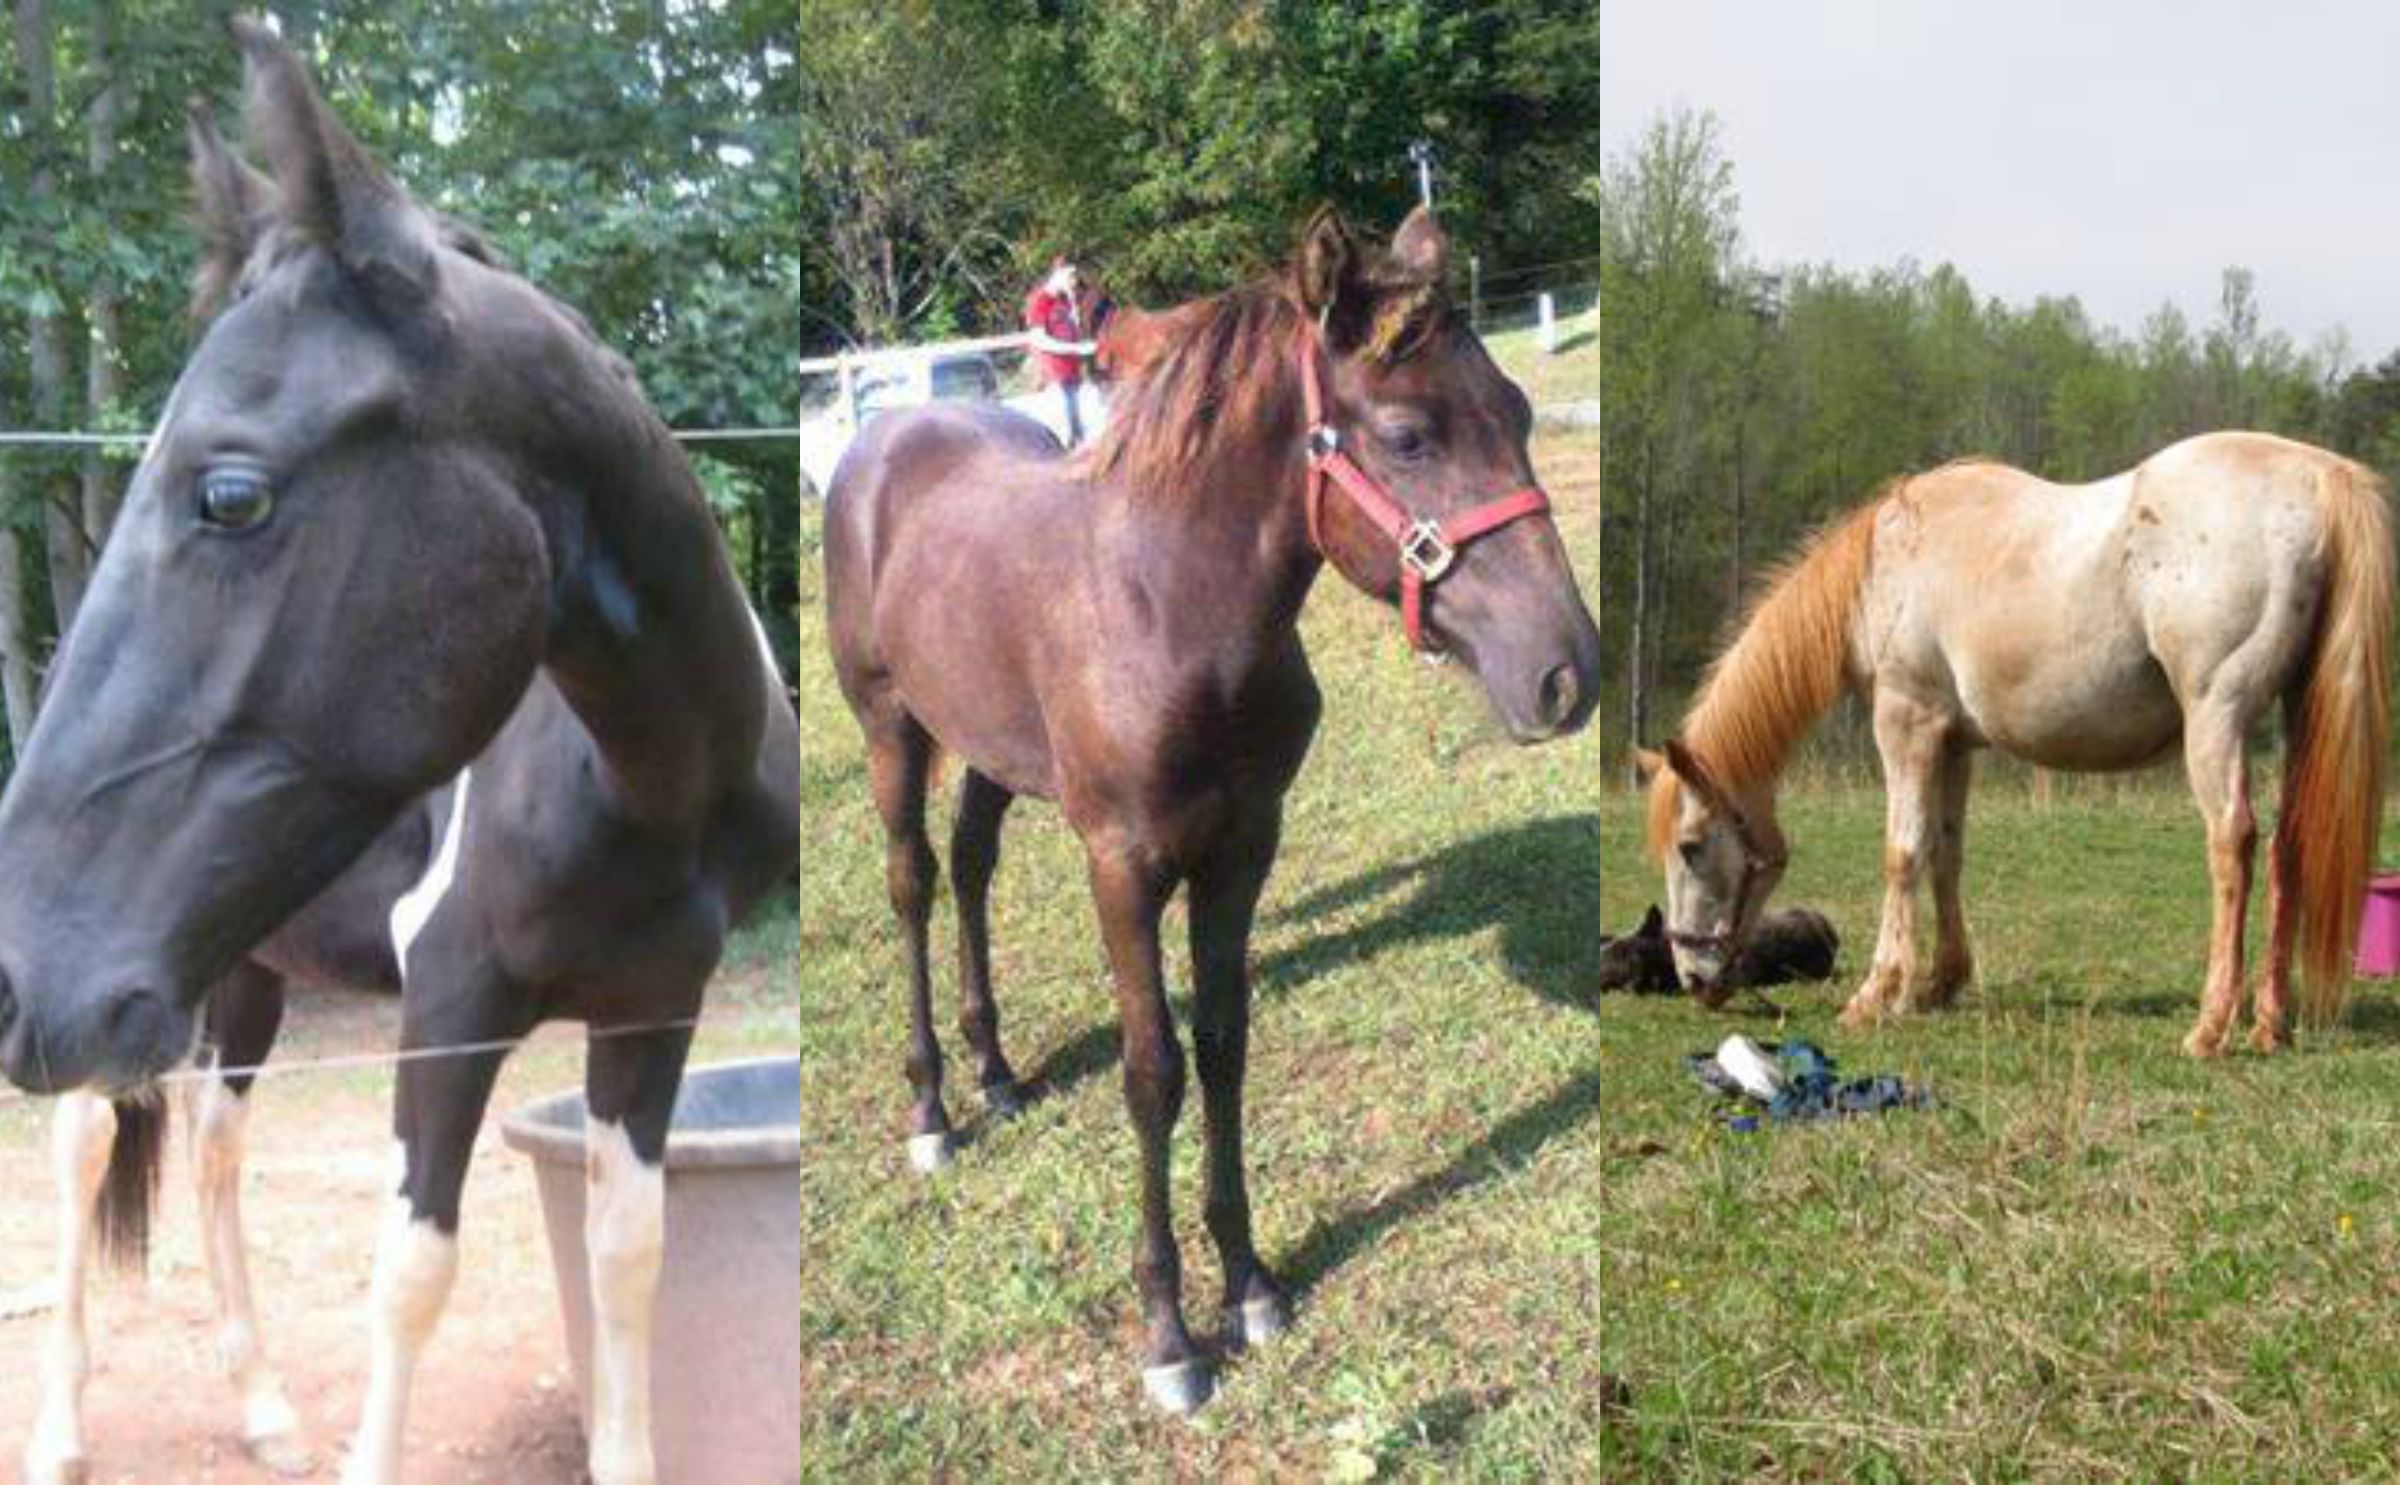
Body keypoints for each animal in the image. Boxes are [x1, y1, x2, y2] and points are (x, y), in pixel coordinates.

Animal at [0, 24, 799, 1485]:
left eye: (229, 493)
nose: (23, 973)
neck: (642, 782)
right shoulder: (451, 1002)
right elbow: (412, 1272)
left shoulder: (655, 1007)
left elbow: (628, 1262)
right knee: (85, 1148)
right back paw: (61, 1434)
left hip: (238, 970)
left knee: (214, 1147)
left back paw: (263, 1404)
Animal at [825, 204, 1600, 1413]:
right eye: (1409, 435)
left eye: (1518, 411)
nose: (1567, 674)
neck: (1173, 610)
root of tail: (884, 435)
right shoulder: (1123, 863)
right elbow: (1155, 1073)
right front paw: (1168, 1333)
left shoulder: (1242, 850)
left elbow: (1227, 1045)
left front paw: (1250, 1284)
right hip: (891, 729)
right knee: (913, 883)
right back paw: (934, 1111)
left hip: (990, 745)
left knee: (973, 867)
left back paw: (998, 1074)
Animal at [1638, 432, 2391, 1058]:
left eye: (1691, 846)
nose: (1693, 978)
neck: (1884, 570)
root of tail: (2317, 477)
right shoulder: (1954, 744)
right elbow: (1945, 853)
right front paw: (1939, 984)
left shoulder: (1905, 724)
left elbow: (1902, 854)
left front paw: (1877, 994)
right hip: (2292, 721)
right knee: (2290, 847)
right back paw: (2269, 1022)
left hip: (2217, 718)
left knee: (2233, 844)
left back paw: (2211, 1026)